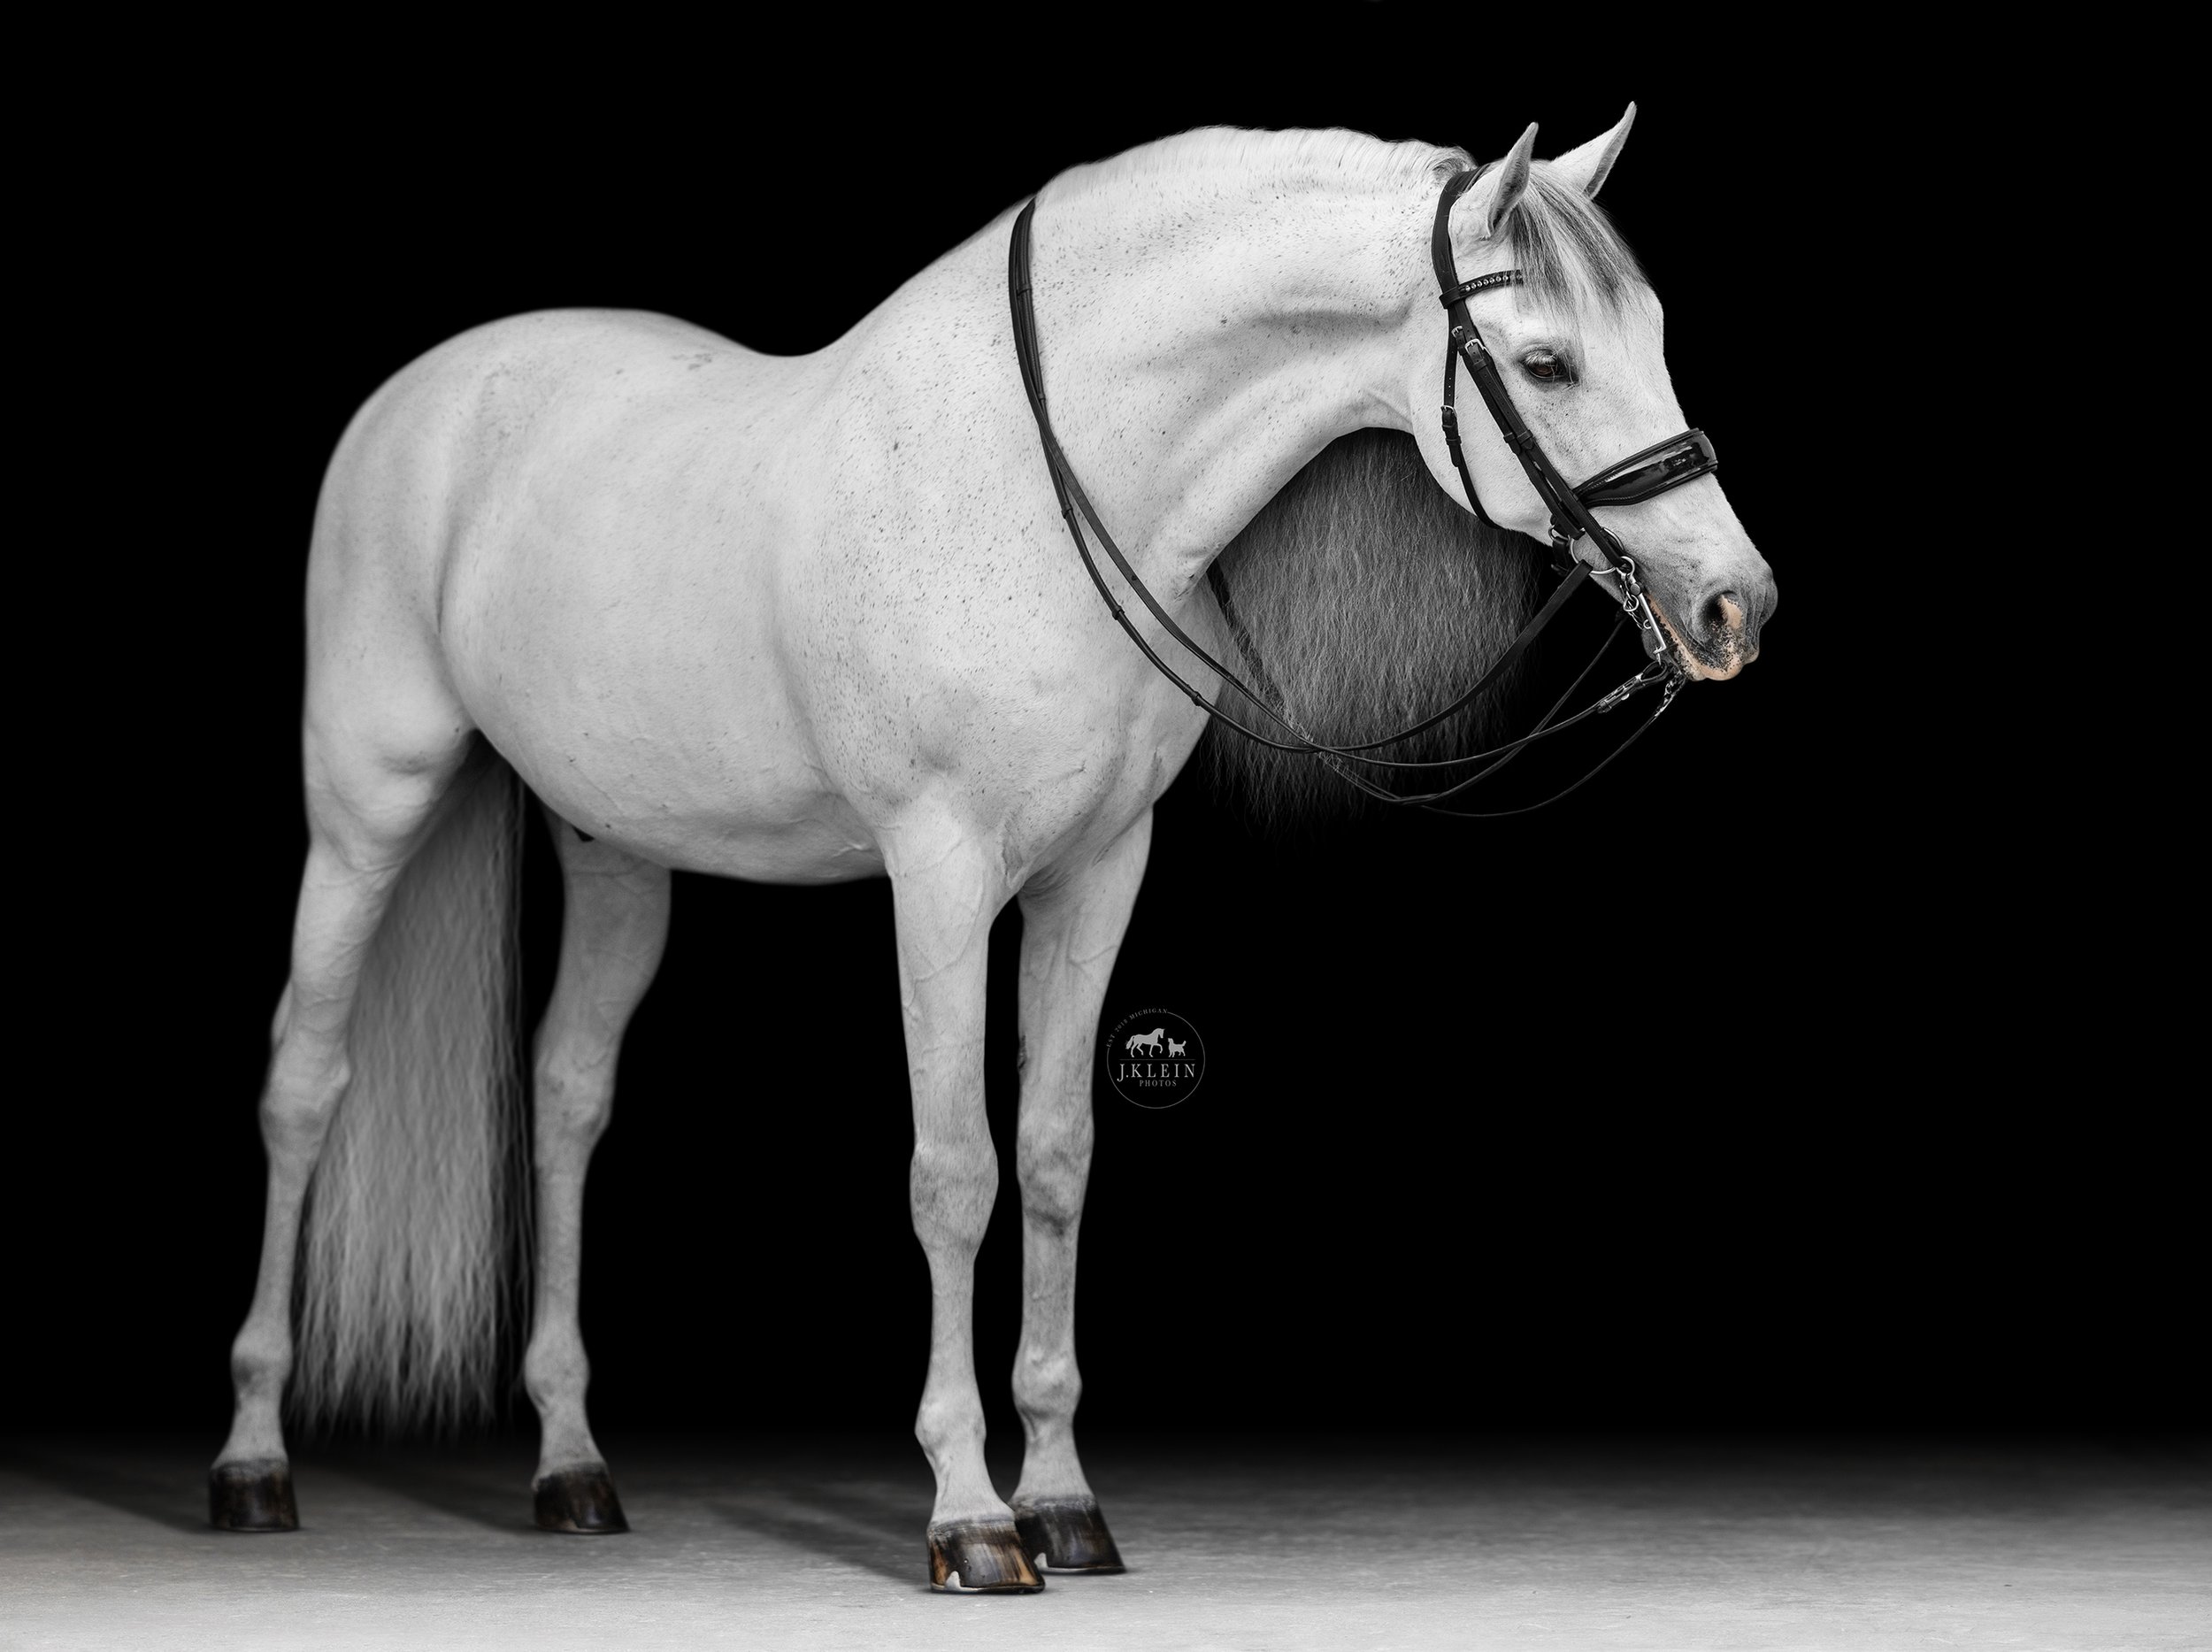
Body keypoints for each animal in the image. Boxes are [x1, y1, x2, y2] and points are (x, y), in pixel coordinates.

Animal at [208, 110, 1774, 1593]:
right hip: (366, 804)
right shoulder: (942, 874)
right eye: (1548, 361)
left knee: (568, 1096)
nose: (1733, 604)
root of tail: (426, 388)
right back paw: (253, 1461)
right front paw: (968, 1515)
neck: (1036, 484)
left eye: (1652, 336)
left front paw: (1066, 1501)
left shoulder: (1098, 872)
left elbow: (1058, 1156)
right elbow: (954, 1170)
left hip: (613, 851)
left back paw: (573, 1467)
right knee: (304, 1083)